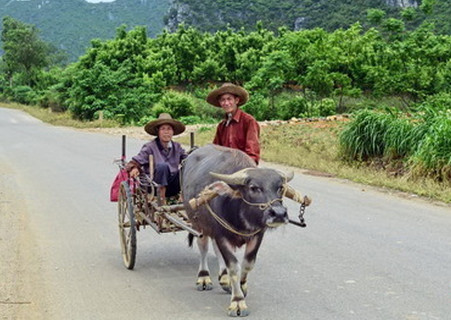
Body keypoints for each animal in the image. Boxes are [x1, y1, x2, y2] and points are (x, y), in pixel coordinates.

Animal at [182, 145, 298, 318]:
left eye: (280, 187)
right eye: (254, 188)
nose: (278, 214)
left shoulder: (257, 235)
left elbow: (248, 264)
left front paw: (241, 287)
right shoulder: (221, 234)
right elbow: (233, 267)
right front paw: (237, 301)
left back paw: (223, 278)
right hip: (198, 223)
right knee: (203, 247)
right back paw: (204, 278)